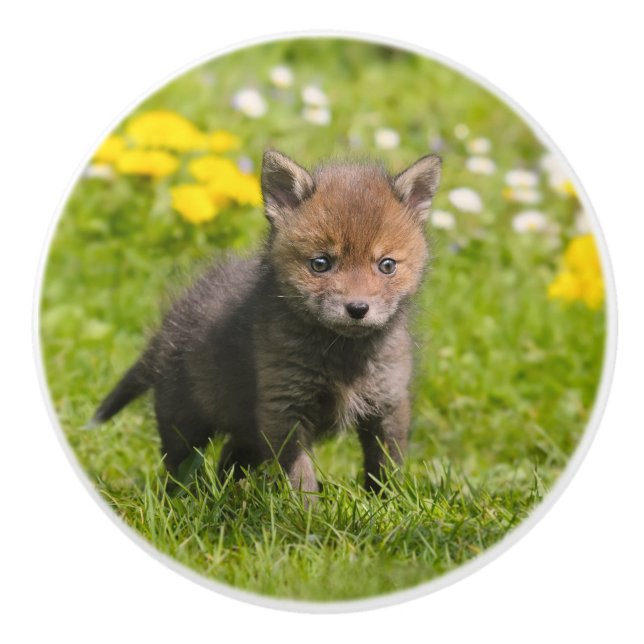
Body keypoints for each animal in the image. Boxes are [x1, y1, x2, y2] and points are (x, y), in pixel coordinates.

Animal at [92, 149, 442, 497]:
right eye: (320, 264)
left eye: (387, 265)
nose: (357, 308)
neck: (343, 357)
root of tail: (168, 325)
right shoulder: (283, 407)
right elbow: (300, 475)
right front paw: (307, 511)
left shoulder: (387, 403)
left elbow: (385, 464)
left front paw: (386, 502)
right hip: (185, 422)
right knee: (181, 466)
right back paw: (186, 498)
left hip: (246, 431)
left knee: (229, 458)